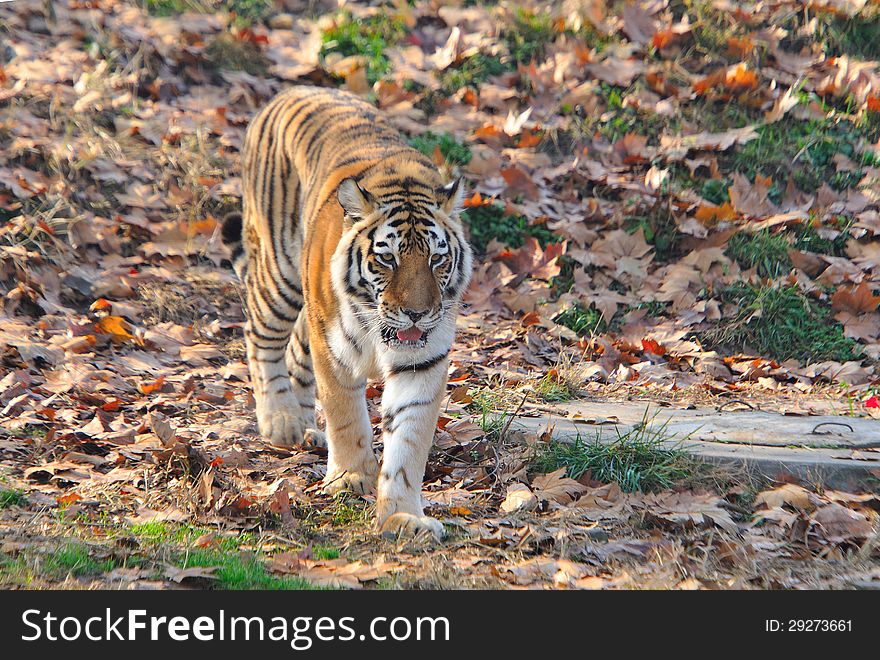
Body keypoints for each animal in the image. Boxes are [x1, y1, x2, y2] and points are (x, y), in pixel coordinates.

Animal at [223, 86, 474, 540]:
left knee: (294, 352)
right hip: (279, 275)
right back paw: (281, 420)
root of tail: (292, 89)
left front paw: (402, 517)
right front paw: (351, 477)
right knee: (260, 337)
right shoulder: (333, 348)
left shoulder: (423, 360)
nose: (416, 314)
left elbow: (409, 442)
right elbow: (345, 416)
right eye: (387, 258)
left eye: (437, 260)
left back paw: (306, 426)